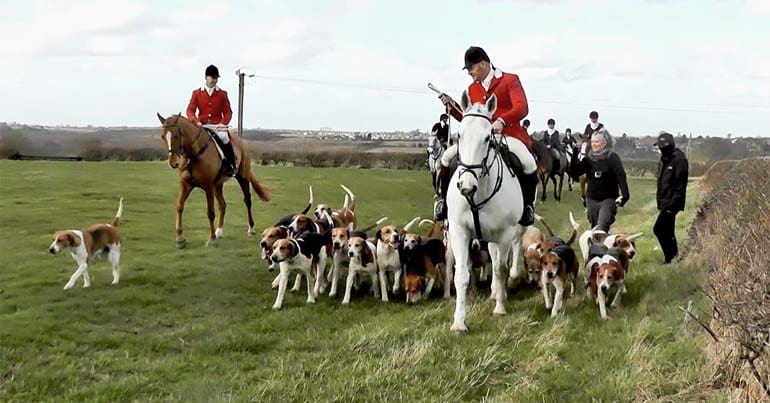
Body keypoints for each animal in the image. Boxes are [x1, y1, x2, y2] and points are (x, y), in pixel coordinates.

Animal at [156, 112, 270, 248]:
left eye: (176, 135)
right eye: (163, 136)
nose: (173, 163)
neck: (194, 154)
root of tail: (240, 141)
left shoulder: (208, 186)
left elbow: (210, 212)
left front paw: (211, 240)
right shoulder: (186, 185)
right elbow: (179, 206)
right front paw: (180, 239)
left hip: (242, 177)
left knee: (247, 200)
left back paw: (251, 228)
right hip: (218, 184)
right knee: (222, 204)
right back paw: (219, 231)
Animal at [448, 92, 524, 334]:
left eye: (487, 138)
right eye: (459, 135)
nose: (466, 186)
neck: (478, 193)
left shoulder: (505, 232)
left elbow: (500, 268)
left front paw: (500, 307)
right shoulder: (459, 231)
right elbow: (462, 275)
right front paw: (459, 321)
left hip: (516, 228)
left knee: (513, 250)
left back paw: (508, 285)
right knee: (492, 251)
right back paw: (493, 291)